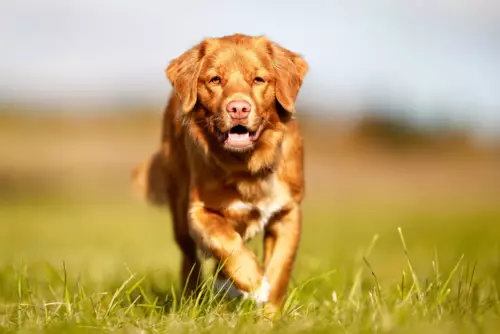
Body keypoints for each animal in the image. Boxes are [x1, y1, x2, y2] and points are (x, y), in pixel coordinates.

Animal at [131, 32, 306, 314]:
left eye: (258, 79)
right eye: (215, 79)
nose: (238, 108)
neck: (246, 165)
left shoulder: (288, 212)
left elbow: (280, 269)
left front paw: (268, 315)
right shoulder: (199, 210)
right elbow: (225, 241)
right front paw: (254, 283)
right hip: (179, 212)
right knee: (190, 261)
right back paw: (195, 299)